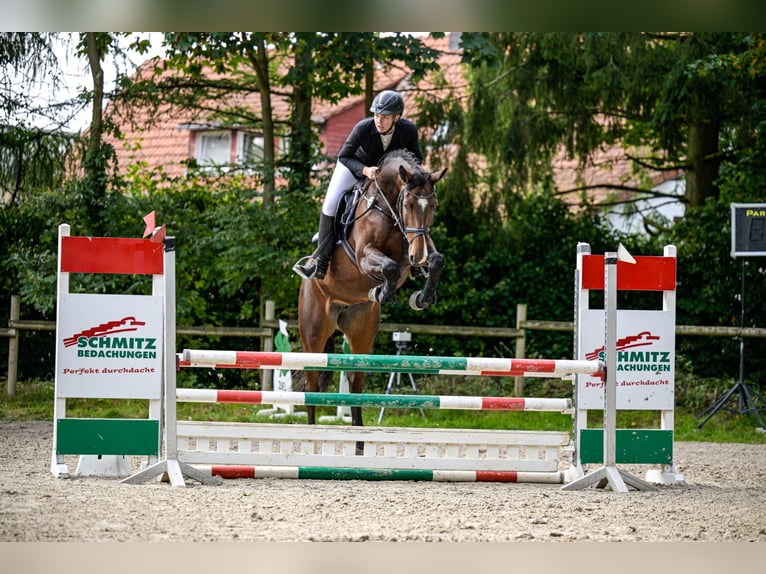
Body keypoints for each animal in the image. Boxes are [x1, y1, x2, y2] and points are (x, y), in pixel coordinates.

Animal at [296, 146, 448, 448]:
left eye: (434, 206)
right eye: (407, 205)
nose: (418, 256)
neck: (387, 208)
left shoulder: (413, 248)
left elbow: (435, 260)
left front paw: (421, 297)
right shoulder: (366, 255)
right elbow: (388, 267)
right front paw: (383, 292)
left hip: (361, 332)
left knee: (356, 385)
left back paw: (359, 442)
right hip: (314, 333)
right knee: (311, 386)